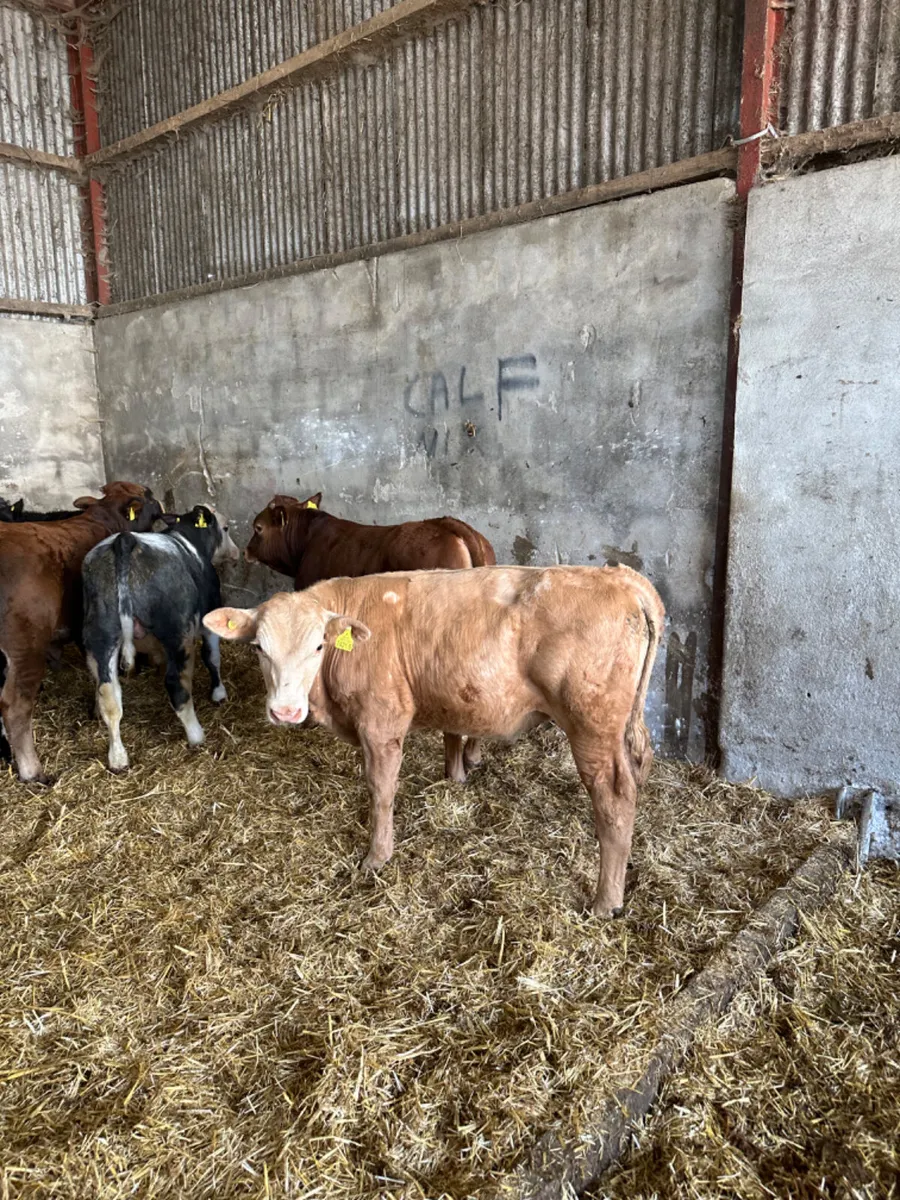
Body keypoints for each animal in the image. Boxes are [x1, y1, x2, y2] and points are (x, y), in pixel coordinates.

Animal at [81, 505, 239, 771]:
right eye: (225, 527)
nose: (236, 553)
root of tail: (125, 540)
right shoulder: (210, 614)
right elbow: (213, 657)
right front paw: (219, 693)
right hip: (177, 633)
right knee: (177, 685)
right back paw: (196, 735)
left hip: (100, 636)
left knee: (109, 696)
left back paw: (118, 757)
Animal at [205, 564, 664, 918]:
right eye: (258, 647)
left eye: (318, 646)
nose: (285, 711)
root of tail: (620, 577)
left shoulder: (382, 722)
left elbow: (381, 790)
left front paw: (377, 856)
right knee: (639, 767)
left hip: (592, 727)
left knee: (614, 798)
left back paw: (606, 901)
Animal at [244, 491, 497, 783]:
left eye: (258, 527)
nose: (245, 551)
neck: (309, 539)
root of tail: (448, 524)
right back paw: (472, 757)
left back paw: (454, 772)